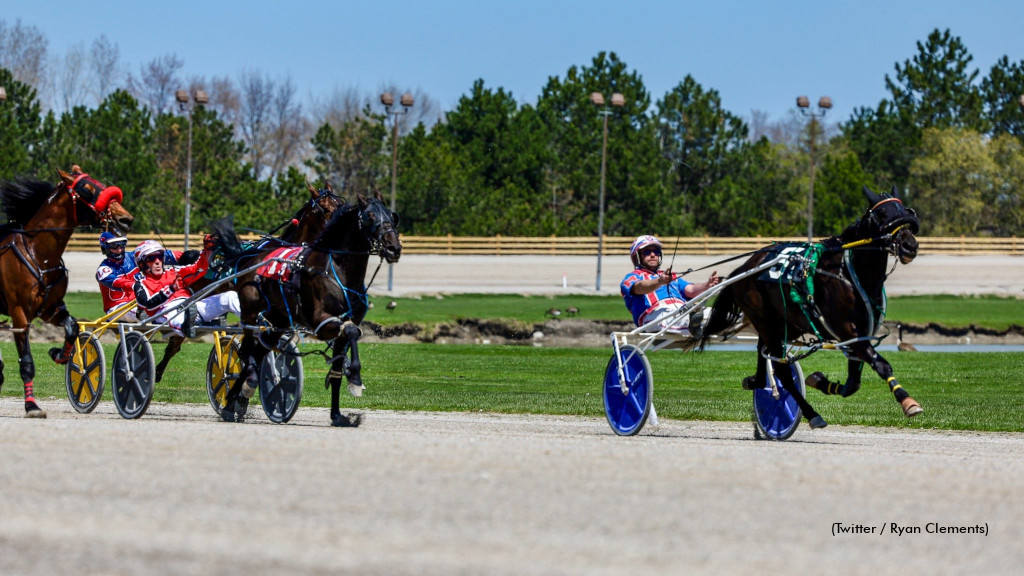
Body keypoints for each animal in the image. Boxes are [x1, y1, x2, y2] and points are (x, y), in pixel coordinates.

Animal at [0, 168, 134, 414]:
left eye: (102, 184)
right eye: (87, 189)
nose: (125, 219)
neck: (39, 255)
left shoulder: (50, 309)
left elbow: (71, 327)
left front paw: (61, 355)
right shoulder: (19, 312)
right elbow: (27, 362)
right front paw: (31, 405)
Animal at [216, 190, 399, 424]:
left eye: (392, 216)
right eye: (370, 216)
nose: (394, 248)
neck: (336, 270)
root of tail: (251, 259)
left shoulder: (343, 326)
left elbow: (342, 358)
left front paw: (338, 413)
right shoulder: (321, 322)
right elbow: (350, 330)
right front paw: (356, 380)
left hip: (278, 322)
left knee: (258, 353)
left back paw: (234, 399)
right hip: (250, 314)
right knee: (246, 352)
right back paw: (238, 393)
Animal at [700, 186, 925, 428]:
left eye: (905, 210)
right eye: (882, 213)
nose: (910, 245)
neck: (848, 273)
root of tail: (745, 268)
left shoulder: (860, 336)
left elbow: (852, 384)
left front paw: (820, 380)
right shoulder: (848, 331)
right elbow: (881, 365)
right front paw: (907, 401)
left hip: (782, 325)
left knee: (764, 359)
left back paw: (756, 381)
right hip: (765, 322)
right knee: (782, 371)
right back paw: (811, 414)